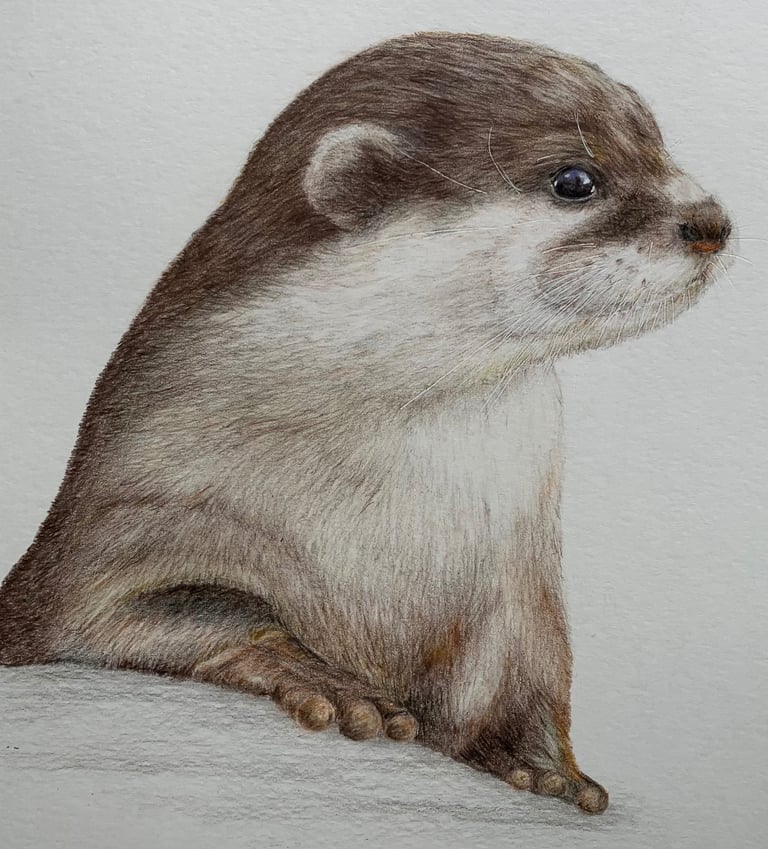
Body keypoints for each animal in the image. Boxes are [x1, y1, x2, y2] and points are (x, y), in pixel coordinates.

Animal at [0, 33, 732, 814]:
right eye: (575, 179)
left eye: (660, 145)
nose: (712, 222)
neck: (394, 519)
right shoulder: (125, 519)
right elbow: (160, 613)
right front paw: (317, 676)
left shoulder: (518, 585)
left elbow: (527, 674)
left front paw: (540, 762)